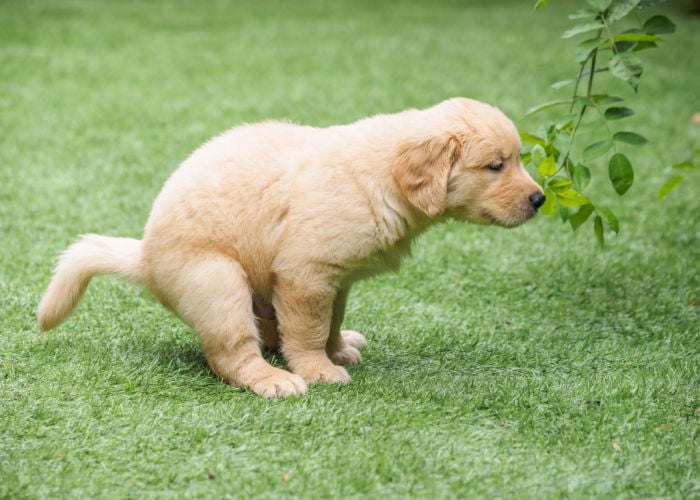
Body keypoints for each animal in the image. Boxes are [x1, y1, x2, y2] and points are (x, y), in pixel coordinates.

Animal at [38, 97, 548, 398]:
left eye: (517, 160)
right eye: (496, 166)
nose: (540, 199)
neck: (381, 176)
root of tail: (144, 257)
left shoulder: (335, 279)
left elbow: (329, 322)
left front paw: (337, 349)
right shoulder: (307, 272)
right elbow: (307, 330)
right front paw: (318, 369)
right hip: (217, 281)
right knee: (231, 354)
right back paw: (275, 379)